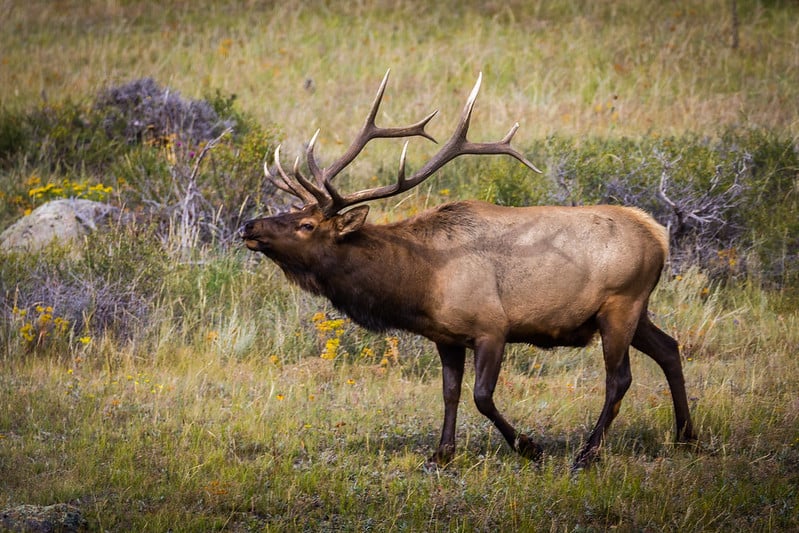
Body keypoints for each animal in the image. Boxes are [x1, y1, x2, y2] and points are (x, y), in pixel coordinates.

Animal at [239, 70, 696, 469]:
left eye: (307, 224)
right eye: (292, 211)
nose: (249, 226)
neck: (419, 284)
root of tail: (658, 235)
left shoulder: (492, 327)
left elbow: (481, 395)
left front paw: (530, 447)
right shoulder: (446, 336)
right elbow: (450, 392)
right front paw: (442, 454)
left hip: (620, 305)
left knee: (619, 378)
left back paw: (587, 453)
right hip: (636, 311)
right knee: (669, 348)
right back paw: (686, 437)